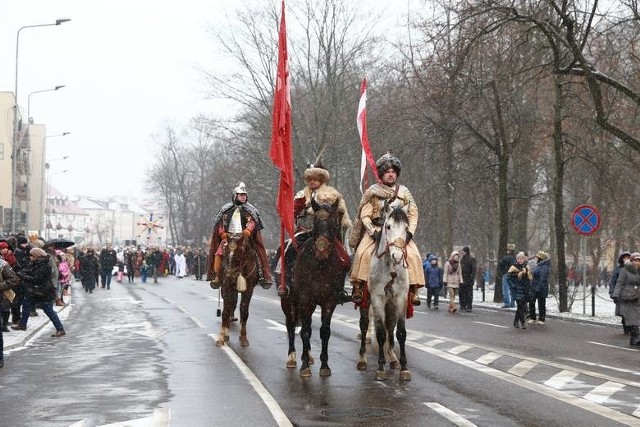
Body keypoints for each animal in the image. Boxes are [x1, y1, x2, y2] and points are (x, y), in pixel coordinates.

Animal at [360, 202, 410, 382]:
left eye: (406, 228)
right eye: (388, 226)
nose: (397, 256)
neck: (391, 269)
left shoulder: (400, 298)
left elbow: (400, 332)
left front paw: (404, 368)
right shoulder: (377, 298)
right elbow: (381, 332)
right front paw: (381, 368)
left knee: (390, 326)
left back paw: (393, 358)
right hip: (365, 301)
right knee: (364, 325)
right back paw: (362, 359)